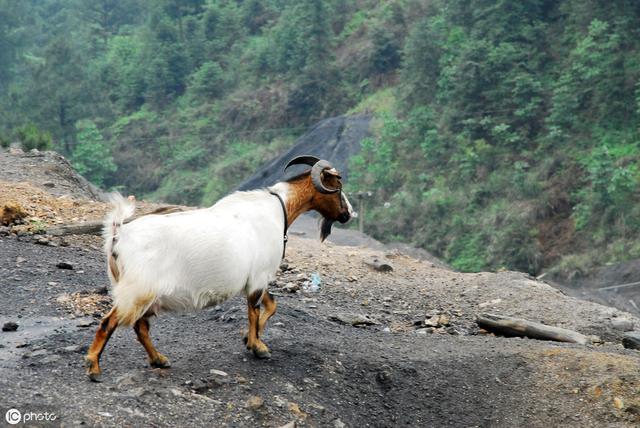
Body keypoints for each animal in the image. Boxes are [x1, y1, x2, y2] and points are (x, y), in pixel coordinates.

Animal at [84, 156, 356, 382]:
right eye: (338, 187)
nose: (348, 214)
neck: (279, 209)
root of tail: (119, 234)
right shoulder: (258, 276)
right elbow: (255, 309)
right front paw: (258, 347)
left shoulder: (256, 279)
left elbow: (271, 305)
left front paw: (249, 338)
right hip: (138, 289)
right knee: (109, 323)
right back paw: (94, 368)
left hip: (142, 292)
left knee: (140, 326)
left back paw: (159, 359)